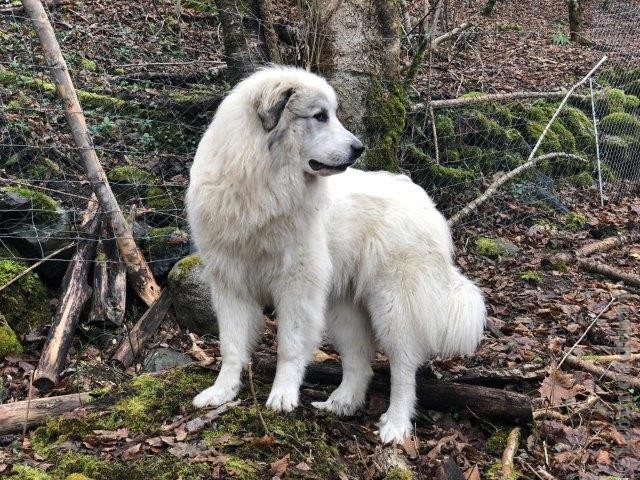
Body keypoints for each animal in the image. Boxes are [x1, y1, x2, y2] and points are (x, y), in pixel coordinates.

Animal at [186, 64, 484, 442]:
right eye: (319, 116)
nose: (359, 148)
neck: (263, 185)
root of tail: (427, 204)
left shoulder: (296, 286)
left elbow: (289, 345)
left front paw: (282, 395)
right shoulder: (229, 282)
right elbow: (231, 345)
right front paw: (222, 391)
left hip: (393, 307)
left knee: (403, 368)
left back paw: (396, 424)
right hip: (344, 308)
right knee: (360, 362)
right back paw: (342, 403)